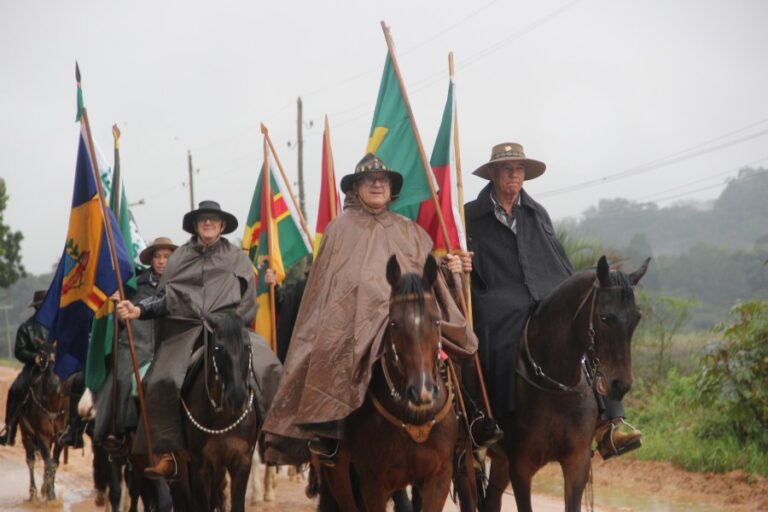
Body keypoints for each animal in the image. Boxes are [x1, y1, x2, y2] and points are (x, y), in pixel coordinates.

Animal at [18, 342, 70, 502]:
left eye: (58, 360)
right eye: (43, 360)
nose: (54, 385)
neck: (52, 406)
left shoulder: (60, 437)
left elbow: (54, 463)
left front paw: (48, 490)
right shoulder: (42, 436)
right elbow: (47, 462)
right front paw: (50, 495)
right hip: (26, 436)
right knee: (30, 461)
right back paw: (33, 492)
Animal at [316, 256, 464, 512]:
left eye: (437, 320)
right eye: (394, 323)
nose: (422, 392)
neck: (415, 420)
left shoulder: (439, 478)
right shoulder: (372, 482)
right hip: (340, 474)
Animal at [486, 256, 648, 512]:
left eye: (637, 317)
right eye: (604, 317)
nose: (620, 384)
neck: (555, 385)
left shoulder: (577, 462)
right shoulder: (521, 466)